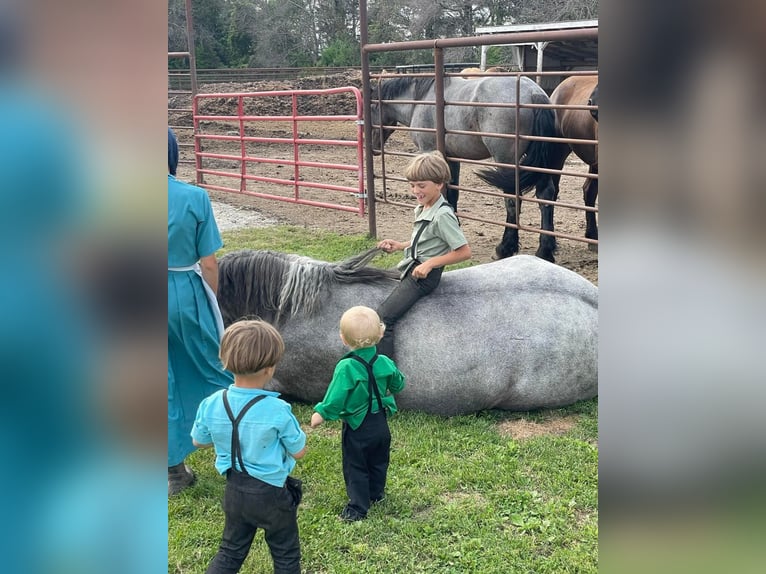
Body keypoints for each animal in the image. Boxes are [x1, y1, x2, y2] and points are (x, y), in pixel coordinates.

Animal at [368, 75, 572, 264]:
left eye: (371, 108)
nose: (373, 147)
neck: (421, 99)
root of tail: (533, 92)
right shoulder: (451, 159)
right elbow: (451, 192)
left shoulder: (429, 151)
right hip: (541, 164)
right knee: (545, 196)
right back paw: (544, 250)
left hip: (507, 162)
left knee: (513, 201)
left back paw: (505, 248)